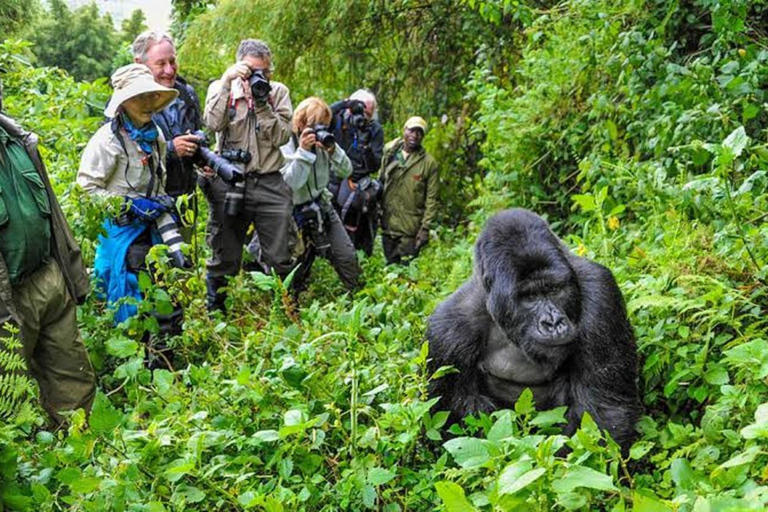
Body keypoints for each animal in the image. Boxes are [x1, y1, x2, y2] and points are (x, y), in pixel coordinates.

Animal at [428, 207, 640, 448]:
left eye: (554, 289)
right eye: (530, 296)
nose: (553, 323)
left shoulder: (601, 293)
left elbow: (603, 413)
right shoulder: (447, 334)